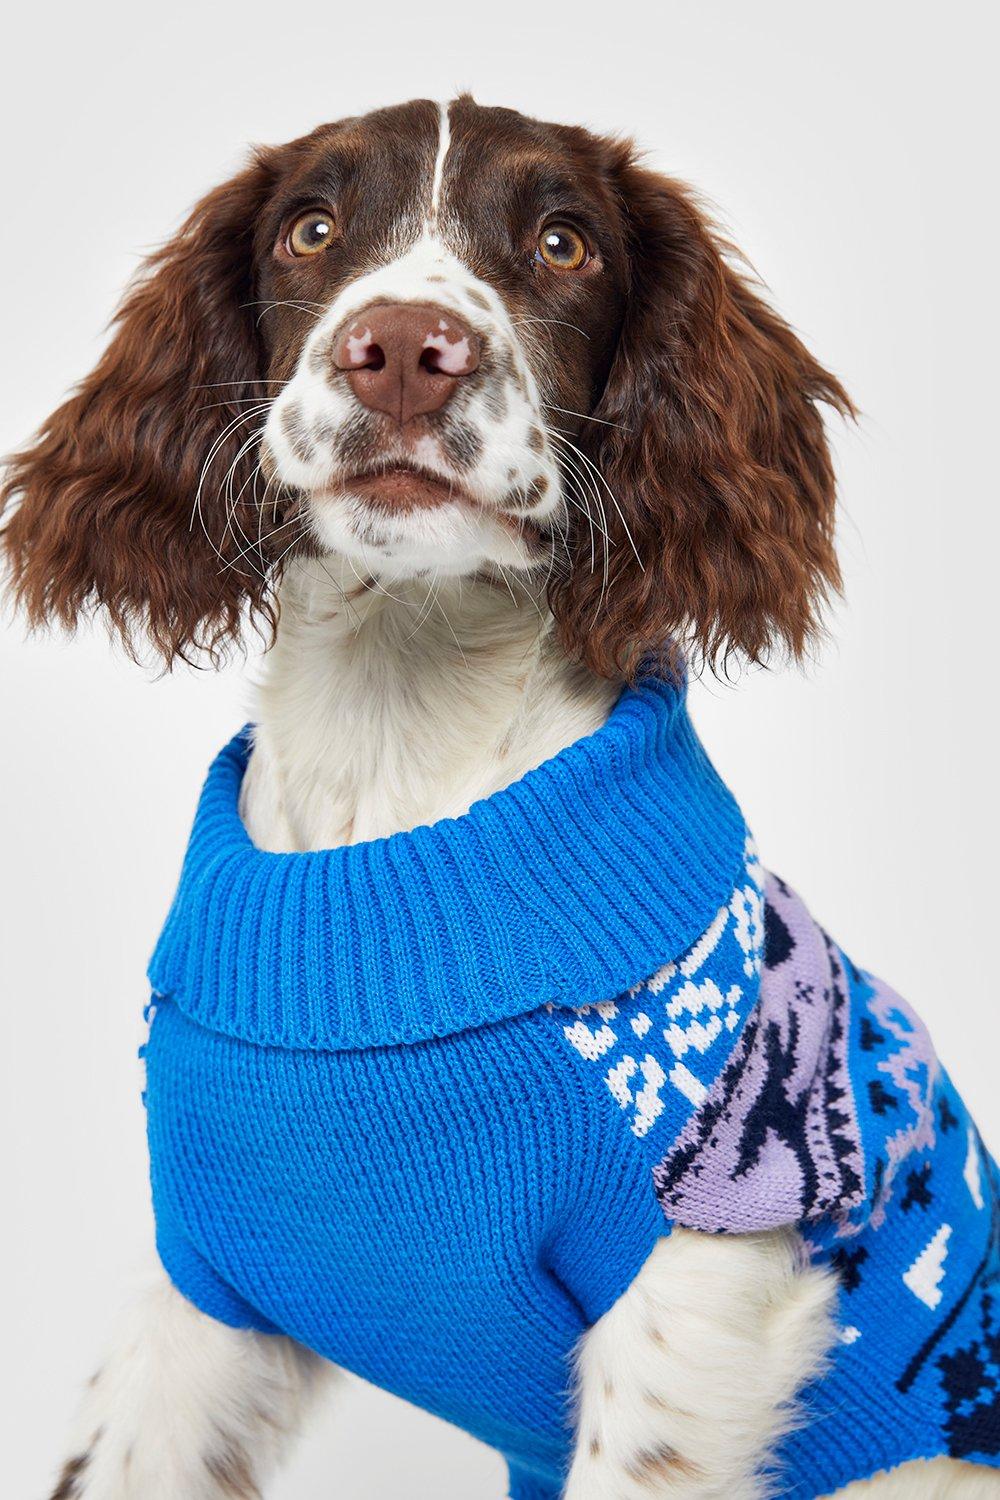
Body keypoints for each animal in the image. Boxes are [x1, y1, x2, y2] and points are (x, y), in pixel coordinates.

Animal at [3, 96, 995, 1500]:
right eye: (310, 229)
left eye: (563, 242)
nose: (403, 353)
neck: (397, 755)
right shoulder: (204, 1290)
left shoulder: (695, 1277)